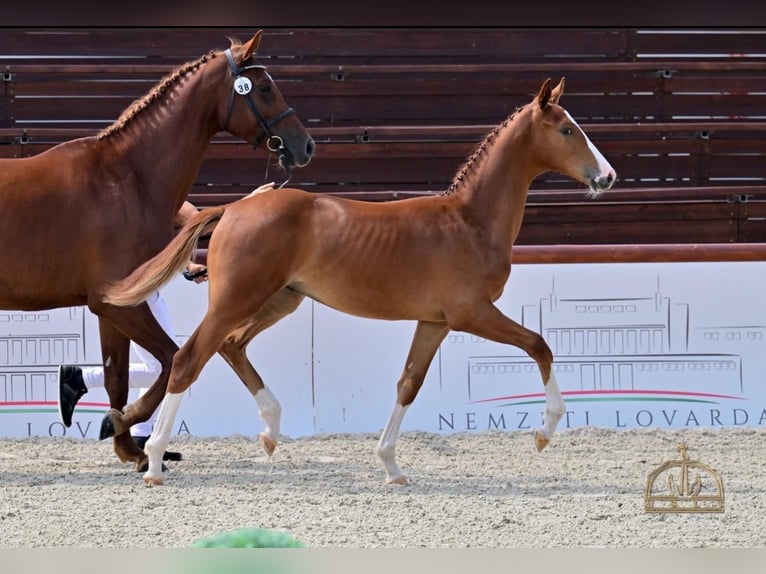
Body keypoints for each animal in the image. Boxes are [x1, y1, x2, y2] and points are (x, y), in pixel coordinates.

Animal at [0, 30, 314, 470]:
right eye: (266, 88)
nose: (306, 146)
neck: (126, 178)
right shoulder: (117, 305)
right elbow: (170, 360)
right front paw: (120, 426)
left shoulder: (111, 306)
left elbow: (118, 376)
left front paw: (127, 447)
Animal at [103, 78, 617, 485]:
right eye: (567, 129)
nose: (608, 176)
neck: (470, 221)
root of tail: (233, 207)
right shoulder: (471, 313)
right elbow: (539, 345)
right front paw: (544, 431)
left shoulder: (435, 322)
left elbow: (409, 382)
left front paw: (390, 465)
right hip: (238, 299)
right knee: (189, 359)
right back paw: (153, 460)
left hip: (279, 301)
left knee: (230, 345)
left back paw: (267, 431)